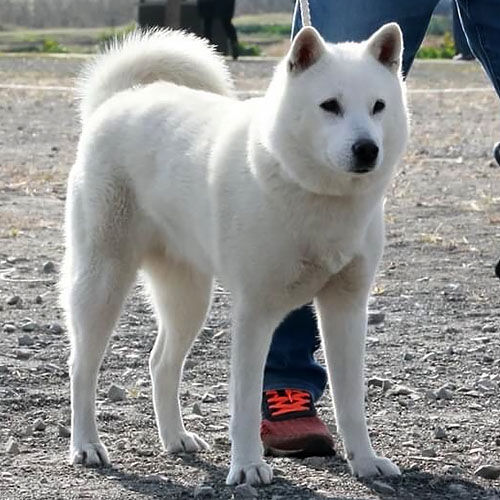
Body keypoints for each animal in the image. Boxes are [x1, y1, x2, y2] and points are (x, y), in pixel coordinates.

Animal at [61, 22, 406, 484]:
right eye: (330, 106)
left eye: (378, 106)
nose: (367, 148)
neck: (318, 196)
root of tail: (117, 99)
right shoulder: (255, 313)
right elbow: (244, 402)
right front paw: (247, 467)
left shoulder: (346, 309)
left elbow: (351, 402)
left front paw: (366, 462)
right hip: (102, 284)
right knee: (82, 368)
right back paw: (86, 445)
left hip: (188, 298)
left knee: (161, 364)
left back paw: (175, 438)